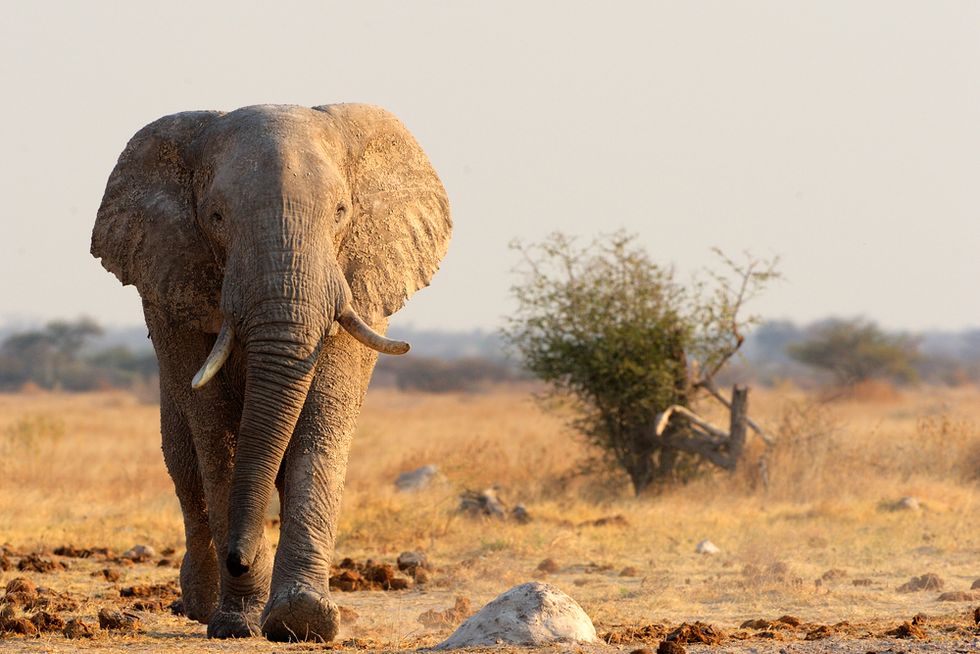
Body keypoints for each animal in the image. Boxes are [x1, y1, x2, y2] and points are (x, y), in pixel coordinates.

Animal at [90, 104, 451, 641]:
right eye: (216, 218)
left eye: (341, 212)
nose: (238, 560)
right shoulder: (169, 285)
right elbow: (215, 435)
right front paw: (238, 621)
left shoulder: (358, 282)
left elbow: (322, 421)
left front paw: (301, 619)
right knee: (184, 463)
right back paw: (202, 604)